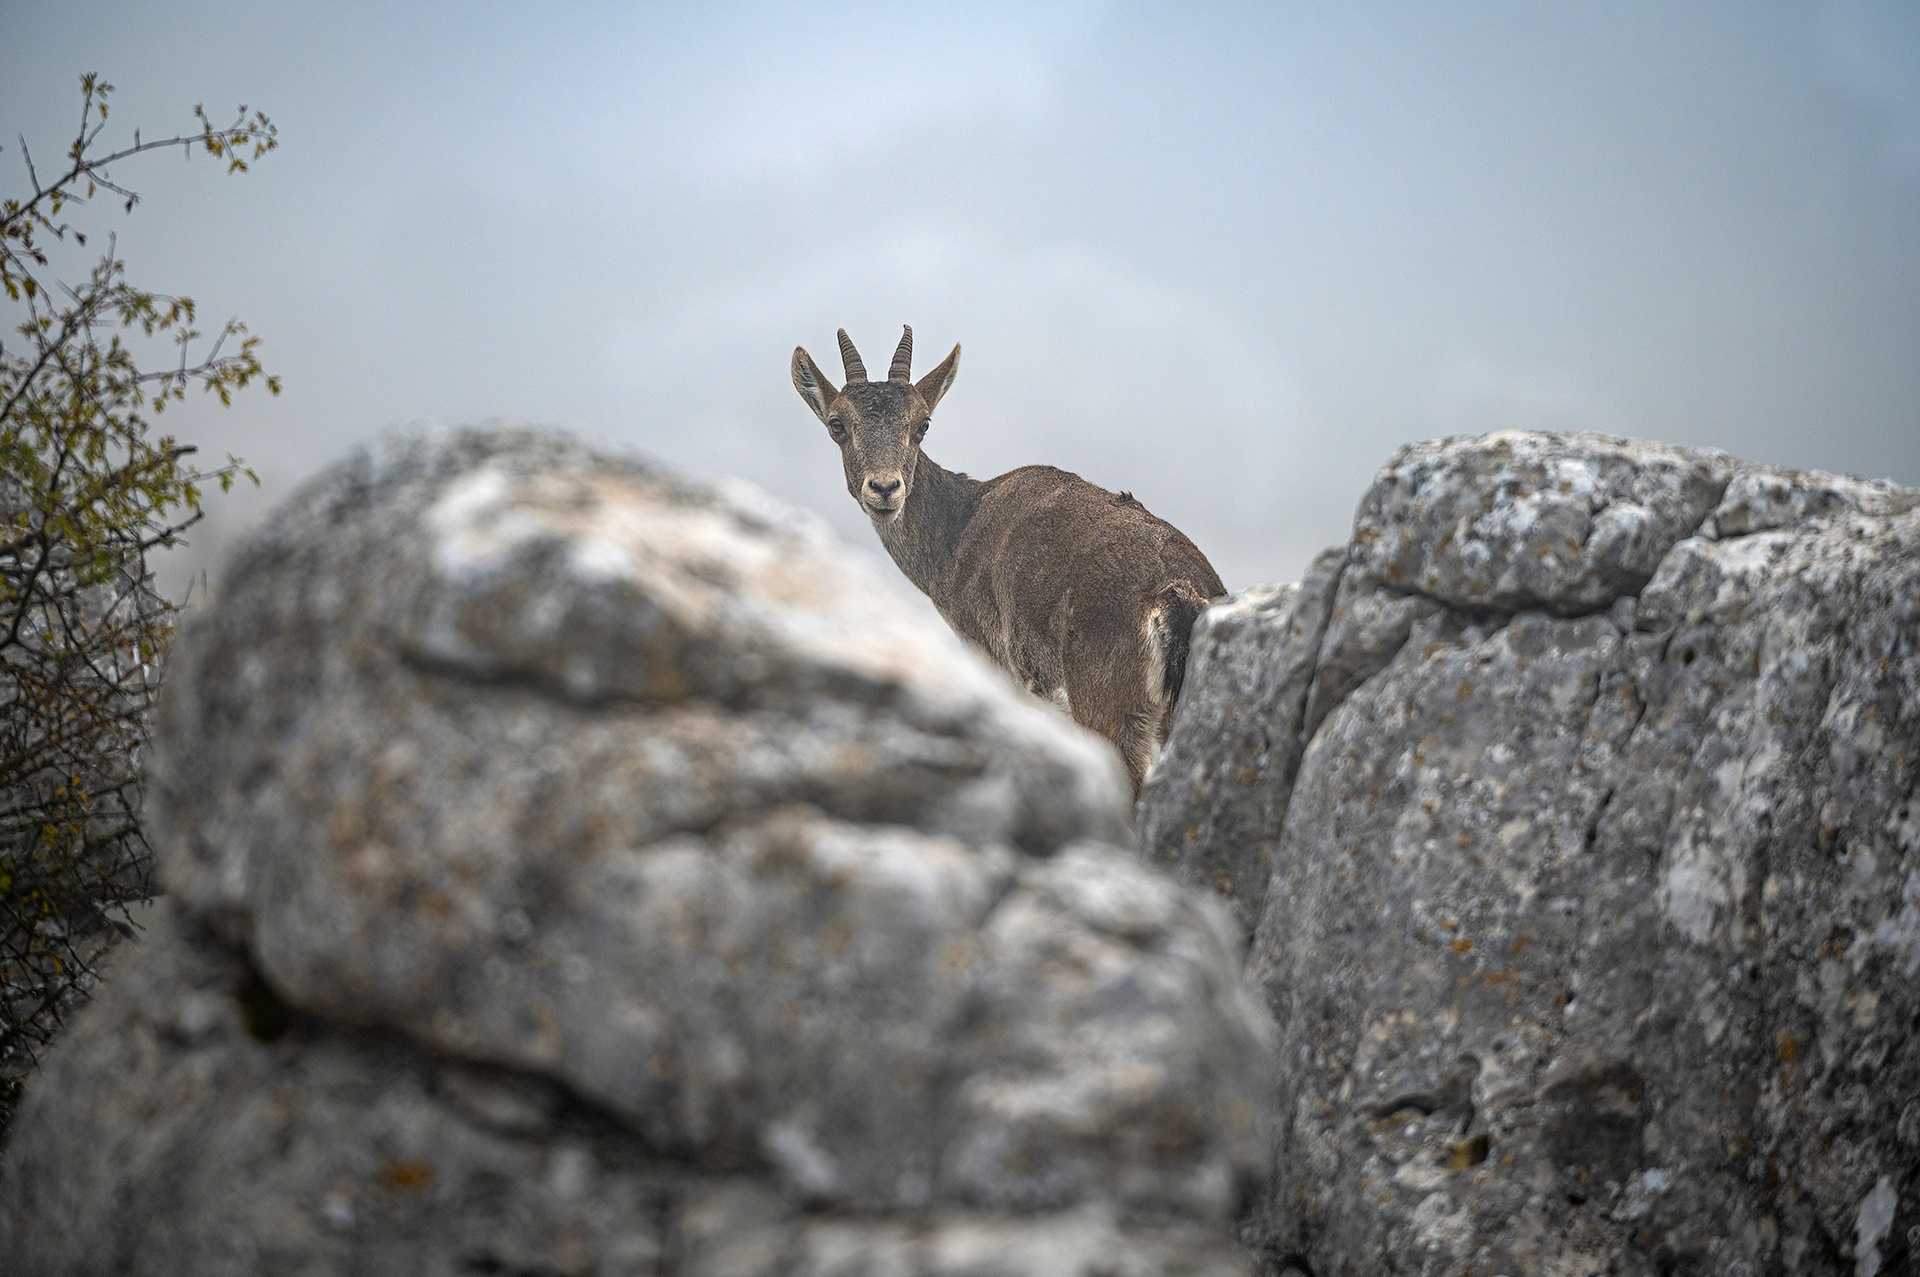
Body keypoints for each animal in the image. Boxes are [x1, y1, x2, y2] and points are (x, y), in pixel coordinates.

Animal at [790, 325, 1225, 796]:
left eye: (922, 424)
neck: (958, 534)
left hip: (1109, 707)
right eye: (837, 424)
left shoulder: (994, 659)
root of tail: (1178, 596)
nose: (885, 489)